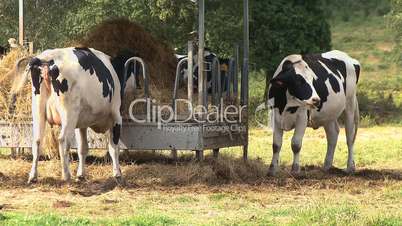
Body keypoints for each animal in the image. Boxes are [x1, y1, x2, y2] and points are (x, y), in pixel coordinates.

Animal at [11, 46, 133, 183]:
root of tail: (48, 57)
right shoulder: (116, 117)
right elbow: (114, 148)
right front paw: (117, 174)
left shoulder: (82, 123)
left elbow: (83, 148)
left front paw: (81, 175)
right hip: (69, 114)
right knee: (63, 139)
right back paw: (66, 175)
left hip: (38, 111)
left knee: (37, 140)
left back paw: (33, 176)